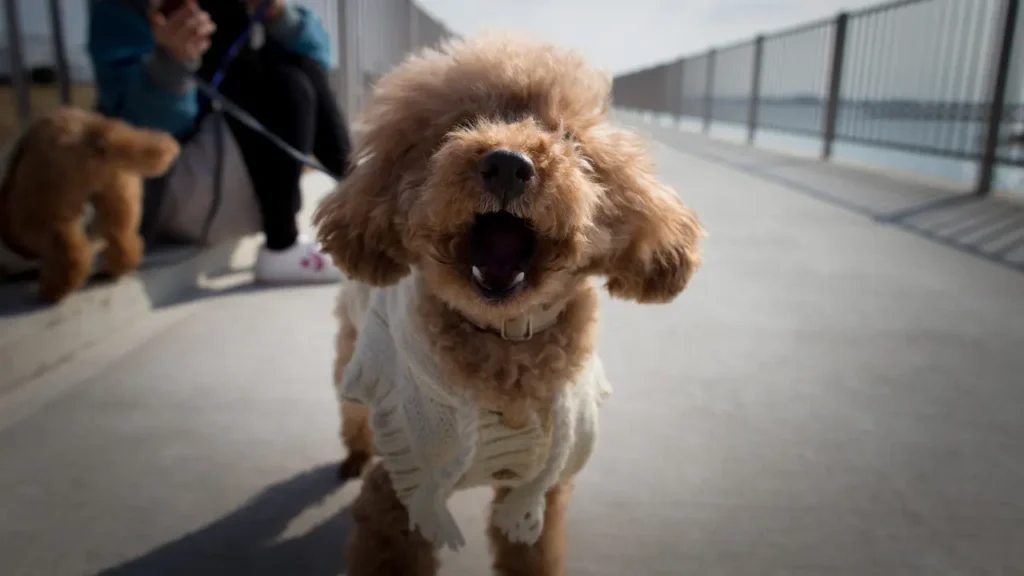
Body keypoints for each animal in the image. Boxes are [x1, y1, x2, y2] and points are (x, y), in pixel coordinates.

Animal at [0, 106, 180, 301]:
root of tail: (95, 131)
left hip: (55, 203)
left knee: (72, 253)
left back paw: (53, 290)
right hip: (119, 186)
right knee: (121, 235)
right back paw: (115, 268)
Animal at [319, 33, 704, 569]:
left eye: (568, 138)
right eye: (457, 126)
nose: (507, 165)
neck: (506, 344)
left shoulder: (538, 493)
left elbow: (533, 552)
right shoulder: (402, 490)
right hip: (354, 357)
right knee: (351, 409)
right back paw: (354, 454)